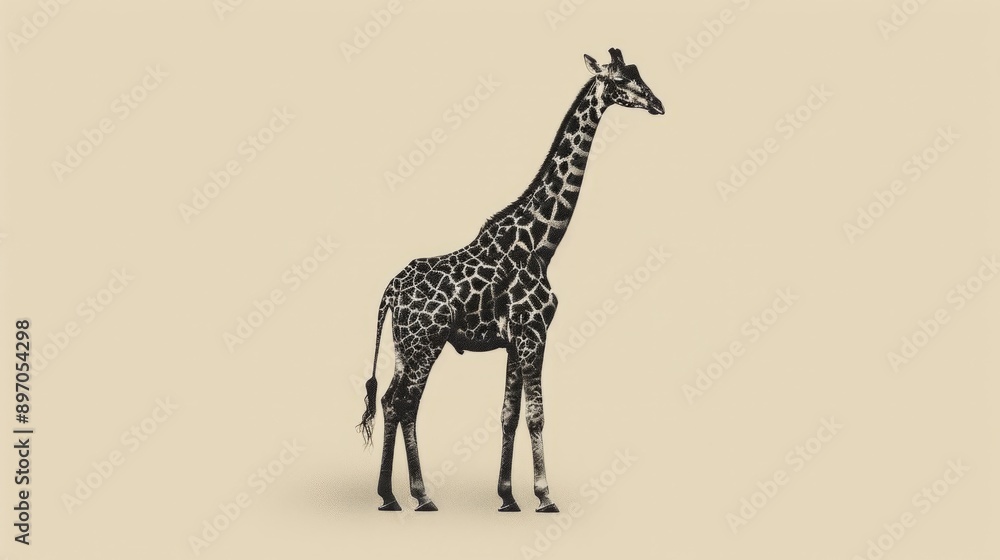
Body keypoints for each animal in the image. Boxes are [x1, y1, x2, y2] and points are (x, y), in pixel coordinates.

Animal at [357, 48, 664, 513]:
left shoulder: (515, 338)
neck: (541, 243)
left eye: (638, 75)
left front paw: (507, 497)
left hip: (402, 346)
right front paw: (545, 496)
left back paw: (389, 496)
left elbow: (508, 415)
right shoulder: (533, 332)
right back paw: (421, 496)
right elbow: (536, 415)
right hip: (426, 342)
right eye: (619, 81)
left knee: (392, 401)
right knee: (406, 403)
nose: (658, 104)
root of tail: (391, 289)